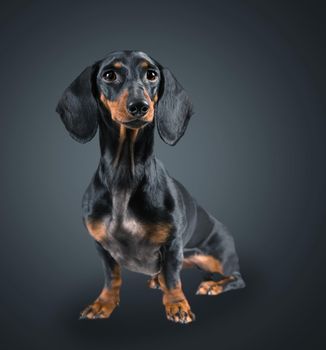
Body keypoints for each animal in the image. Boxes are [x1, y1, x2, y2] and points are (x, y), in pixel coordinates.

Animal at [56, 50, 244, 324]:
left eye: (152, 74)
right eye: (109, 75)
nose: (139, 106)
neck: (124, 175)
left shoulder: (172, 245)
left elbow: (173, 279)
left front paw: (177, 306)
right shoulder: (102, 247)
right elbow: (112, 278)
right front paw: (103, 303)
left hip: (218, 257)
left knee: (236, 278)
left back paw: (213, 286)